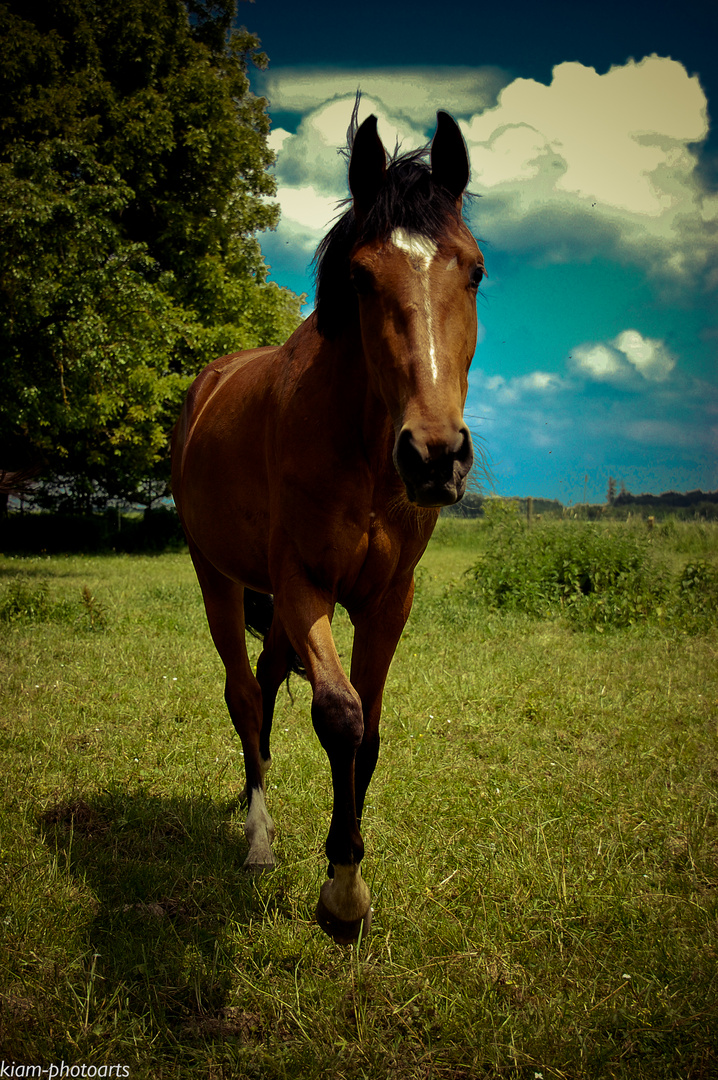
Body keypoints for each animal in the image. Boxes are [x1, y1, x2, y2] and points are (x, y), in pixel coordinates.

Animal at [170, 105, 483, 941]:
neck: (363, 453)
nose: (435, 457)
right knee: (245, 694)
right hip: (216, 577)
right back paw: (258, 837)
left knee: (268, 678)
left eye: (473, 270)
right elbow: (339, 716)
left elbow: (367, 731)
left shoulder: (388, 599)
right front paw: (343, 892)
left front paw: (347, 869)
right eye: (361, 276)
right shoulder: (303, 582)